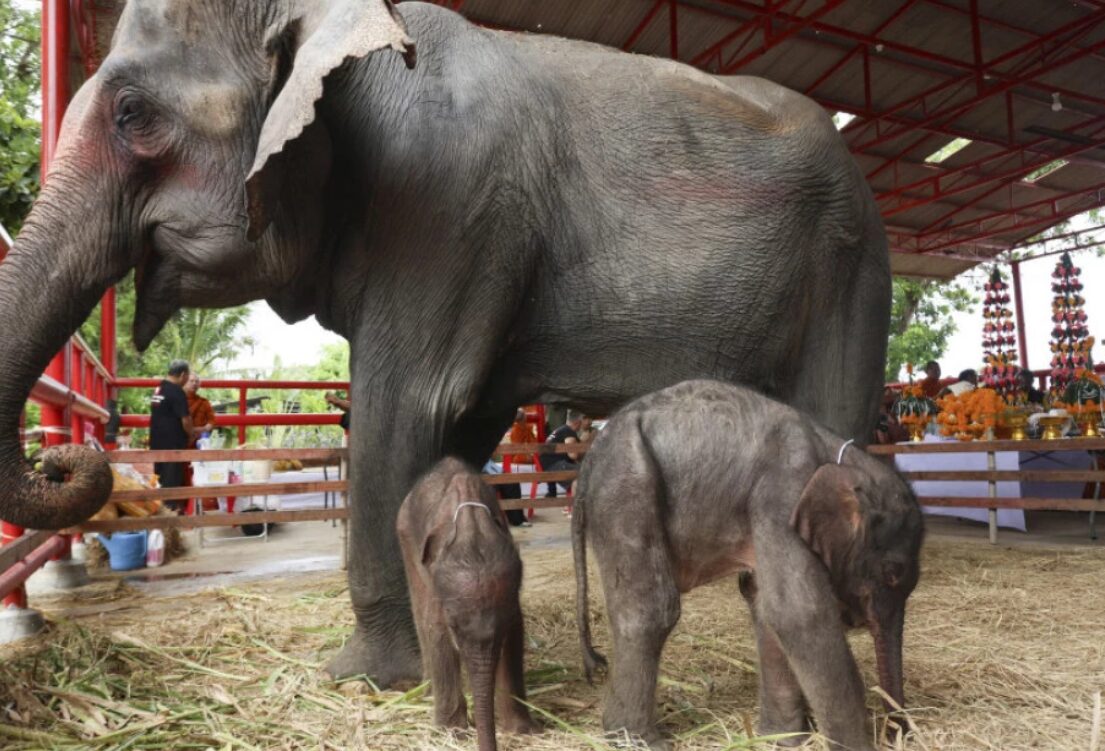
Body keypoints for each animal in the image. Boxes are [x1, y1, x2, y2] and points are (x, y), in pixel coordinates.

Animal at [0, 0, 888, 684]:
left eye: (132, 115)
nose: (68, 456)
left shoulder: (445, 205)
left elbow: (406, 405)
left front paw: (366, 676)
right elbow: (458, 427)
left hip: (849, 263)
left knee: (832, 419)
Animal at [397, 457, 539, 751]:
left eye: (504, 625)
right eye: (454, 627)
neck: (471, 525)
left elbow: (516, 634)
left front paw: (525, 731)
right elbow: (435, 628)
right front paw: (452, 733)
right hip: (405, 536)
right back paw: (427, 692)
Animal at [579, 382, 923, 751]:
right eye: (892, 572)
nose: (899, 734)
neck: (841, 455)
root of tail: (593, 450)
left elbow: (765, 607)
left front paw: (783, 740)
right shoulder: (781, 495)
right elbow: (800, 613)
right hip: (627, 488)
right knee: (650, 610)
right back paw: (636, 741)